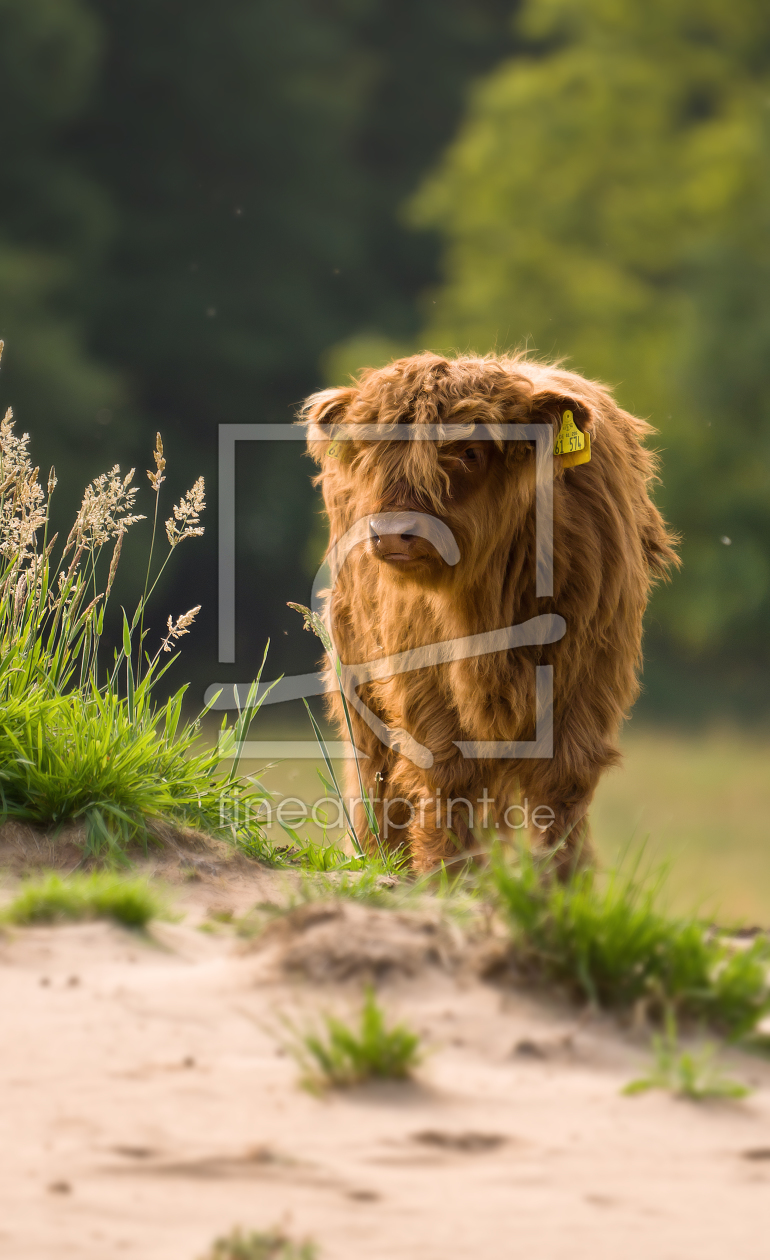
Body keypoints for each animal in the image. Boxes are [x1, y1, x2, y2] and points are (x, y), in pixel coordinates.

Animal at [303, 350, 675, 871]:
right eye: (372, 455)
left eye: (469, 453)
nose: (394, 532)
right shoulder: (420, 669)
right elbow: (447, 773)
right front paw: (446, 875)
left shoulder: (590, 669)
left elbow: (563, 783)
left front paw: (558, 878)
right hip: (354, 666)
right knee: (376, 767)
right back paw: (382, 860)